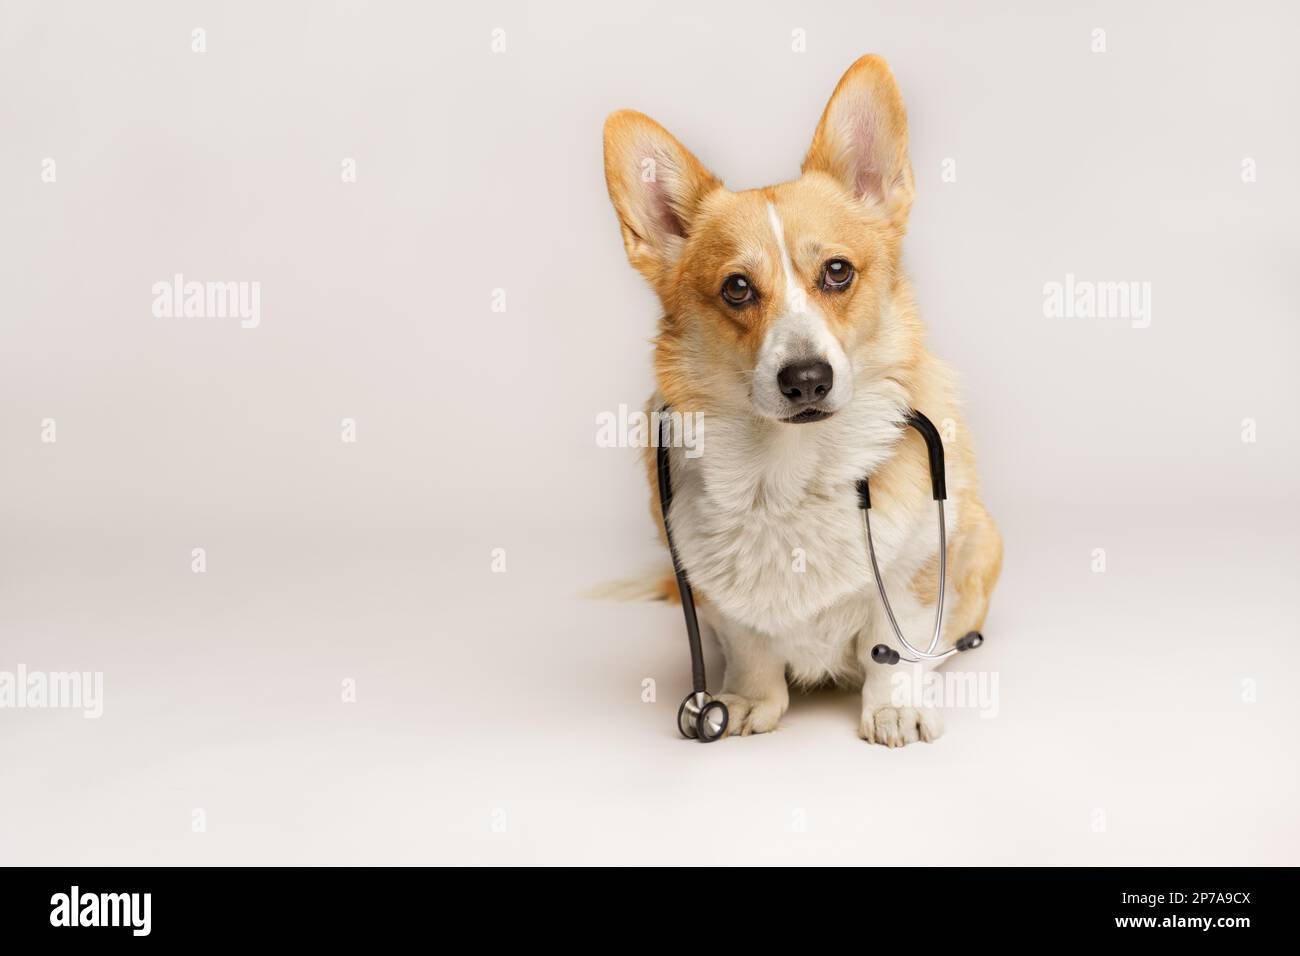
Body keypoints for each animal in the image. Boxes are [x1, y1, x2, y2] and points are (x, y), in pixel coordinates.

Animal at [600, 55, 1003, 749]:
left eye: (837, 272)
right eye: (737, 288)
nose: (807, 378)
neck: (792, 468)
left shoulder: (918, 567)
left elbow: (890, 647)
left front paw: (893, 708)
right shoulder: (715, 596)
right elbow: (751, 647)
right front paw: (748, 701)